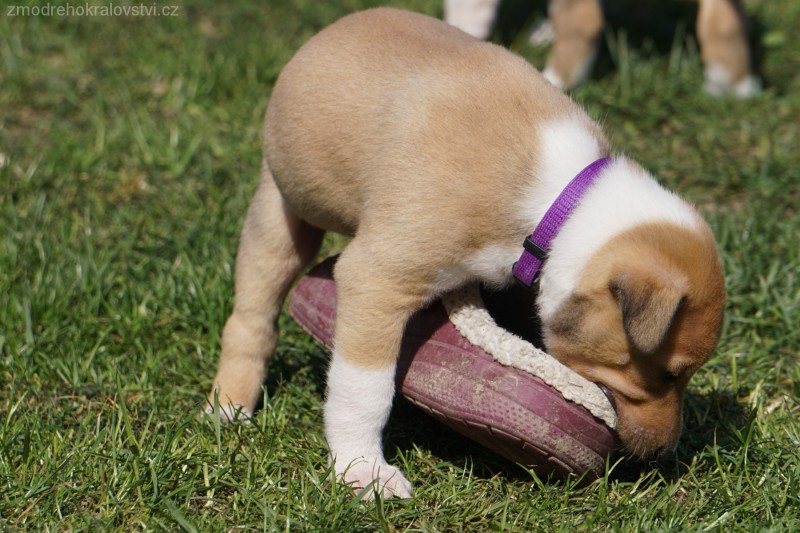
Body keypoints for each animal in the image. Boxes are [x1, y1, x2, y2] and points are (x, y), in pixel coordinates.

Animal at [209, 7, 728, 498]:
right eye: (667, 375)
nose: (664, 456)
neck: (559, 204)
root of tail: (325, 35)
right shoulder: (376, 280)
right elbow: (364, 389)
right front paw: (364, 471)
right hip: (280, 214)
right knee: (252, 317)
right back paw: (229, 407)